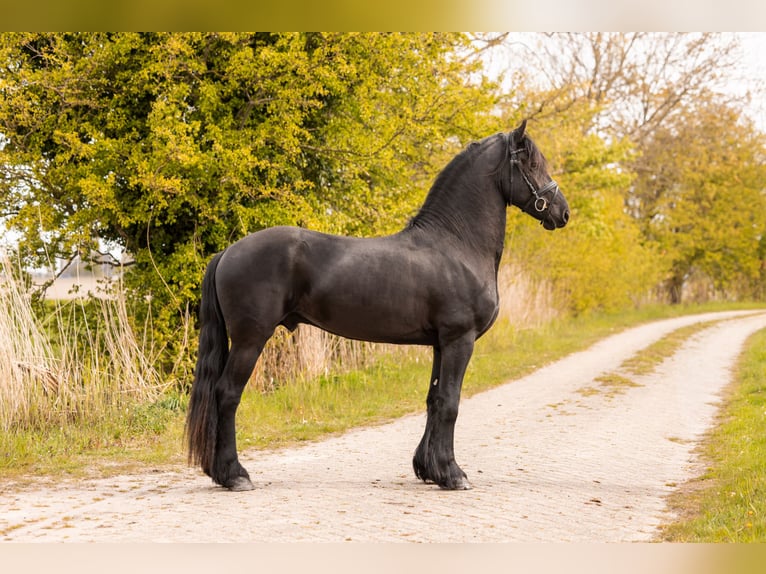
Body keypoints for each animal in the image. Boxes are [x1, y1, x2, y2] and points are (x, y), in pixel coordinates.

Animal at [185, 120, 570, 491]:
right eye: (532, 164)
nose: (562, 212)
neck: (457, 244)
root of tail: (227, 252)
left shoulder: (440, 344)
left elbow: (433, 400)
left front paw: (428, 469)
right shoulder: (459, 340)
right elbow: (450, 403)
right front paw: (452, 474)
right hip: (250, 340)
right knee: (227, 395)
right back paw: (235, 475)